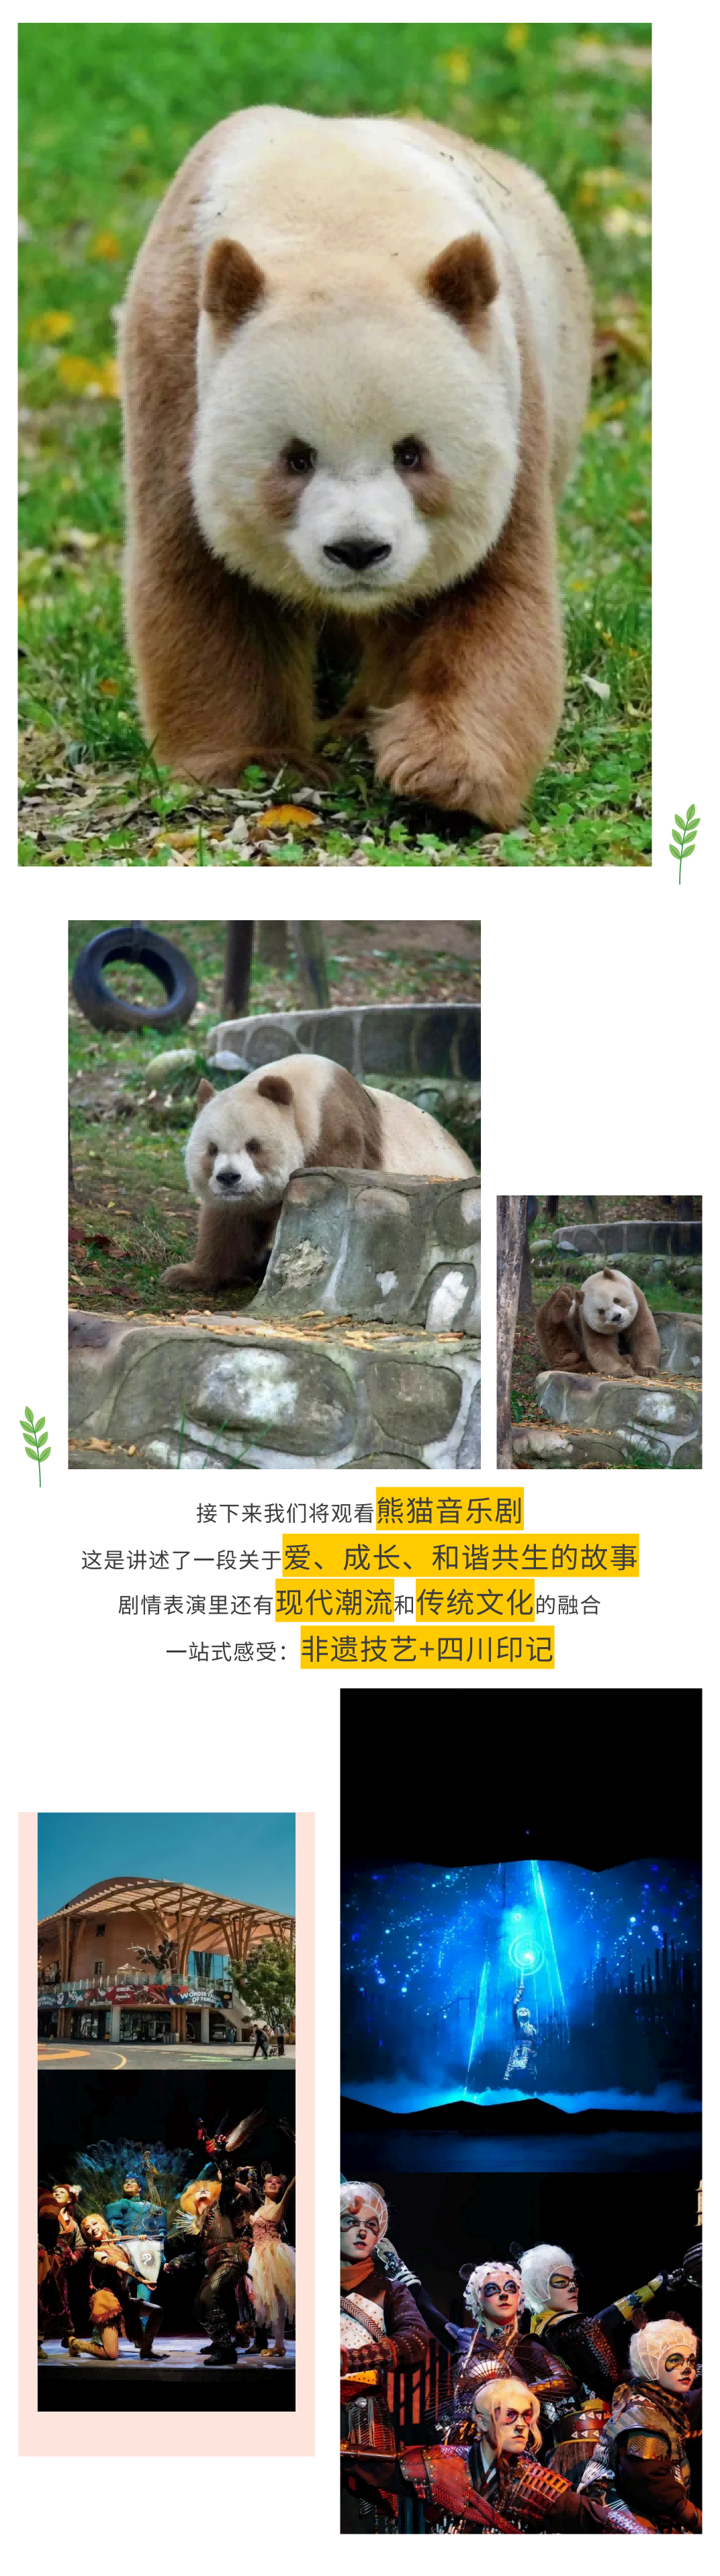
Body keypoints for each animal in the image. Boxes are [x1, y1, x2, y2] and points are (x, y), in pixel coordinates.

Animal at [120, 106, 592, 826]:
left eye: (411, 453)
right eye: (296, 458)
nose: (358, 550)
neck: (341, 217)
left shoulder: (509, 388)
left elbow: (490, 591)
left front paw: (442, 776)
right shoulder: (175, 363)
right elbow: (206, 580)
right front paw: (253, 761)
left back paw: (361, 722)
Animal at [161, 1053, 476, 1293]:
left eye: (254, 1146)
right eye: (212, 1150)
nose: (228, 1178)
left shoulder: (339, 1135)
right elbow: (227, 1224)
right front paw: (185, 1276)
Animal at [536, 1269, 662, 1379]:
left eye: (617, 1300)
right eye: (601, 1311)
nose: (617, 1317)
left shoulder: (639, 1303)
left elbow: (643, 1334)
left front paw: (647, 1370)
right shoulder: (587, 1321)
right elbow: (601, 1347)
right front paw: (622, 1371)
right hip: (567, 1332)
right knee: (552, 1329)